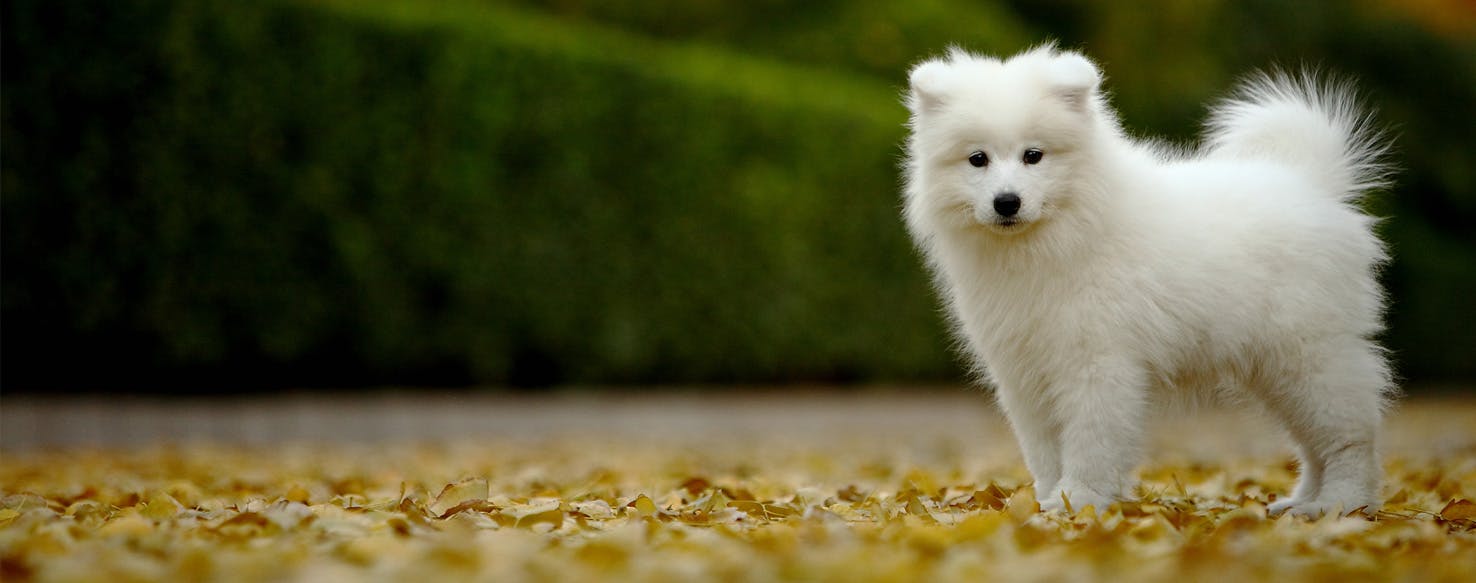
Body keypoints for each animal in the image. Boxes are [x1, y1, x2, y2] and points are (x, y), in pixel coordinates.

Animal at [897, 46, 1393, 519]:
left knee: (1349, 438)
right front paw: (1047, 502)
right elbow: (1044, 451)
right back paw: (1302, 503)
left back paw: (1341, 505)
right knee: (1312, 446)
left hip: (1310, 357)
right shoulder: (1025, 373)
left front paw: (1078, 501)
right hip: (1276, 370)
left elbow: (1091, 442)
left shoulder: (1098, 365)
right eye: (977, 159)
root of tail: (1313, 185)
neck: (1063, 238)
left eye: (1032, 155)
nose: (1006, 202)